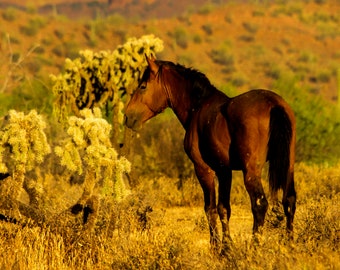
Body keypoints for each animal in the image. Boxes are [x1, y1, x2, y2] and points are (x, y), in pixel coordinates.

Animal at [124, 56, 294, 252]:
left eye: (143, 86)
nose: (127, 116)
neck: (198, 106)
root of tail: (274, 105)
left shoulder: (204, 169)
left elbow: (210, 208)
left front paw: (215, 247)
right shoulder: (224, 171)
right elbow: (224, 208)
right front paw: (227, 246)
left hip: (251, 172)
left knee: (260, 204)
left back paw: (255, 247)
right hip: (288, 167)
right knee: (289, 200)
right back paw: (290, 245)